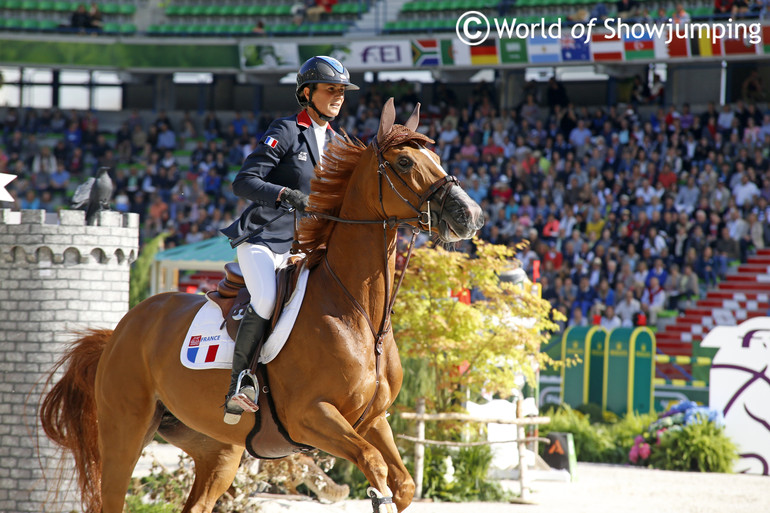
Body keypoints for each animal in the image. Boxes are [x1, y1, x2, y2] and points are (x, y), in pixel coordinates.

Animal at [40, 99, 480, 512]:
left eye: (437, 159)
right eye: (405, 162)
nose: (471, 215)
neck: (360, 314)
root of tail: (120, 330)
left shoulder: (372, 420)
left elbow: (402, 483)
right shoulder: (310, 416)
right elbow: (374, 465)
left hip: (216, 446)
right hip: (126, 431)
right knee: (112, 496)